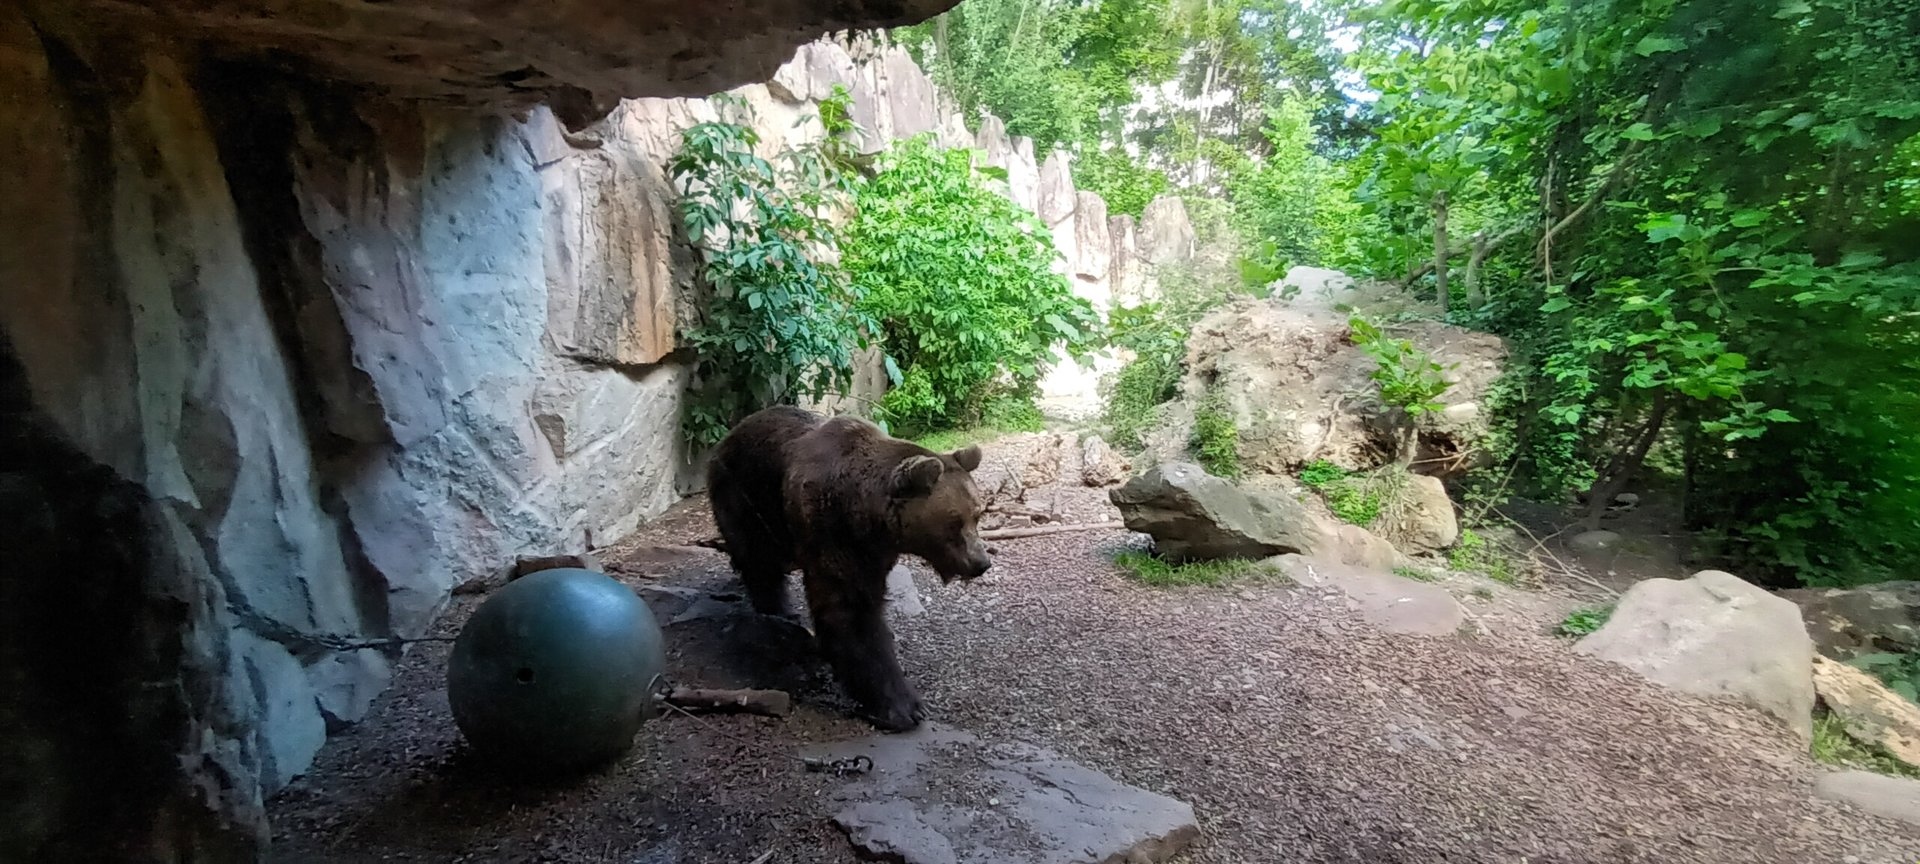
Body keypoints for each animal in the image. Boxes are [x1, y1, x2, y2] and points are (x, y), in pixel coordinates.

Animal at [706, 405, 993, 731]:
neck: (868, 516)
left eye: (977, 515)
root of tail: (730, 433)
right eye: (954, 523)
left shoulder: (874, 553)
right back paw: (778, 612)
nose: (981, 562)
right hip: (746, 497)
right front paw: (902, 706)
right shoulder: (832, 535)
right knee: (760, 564)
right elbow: (851, 615)